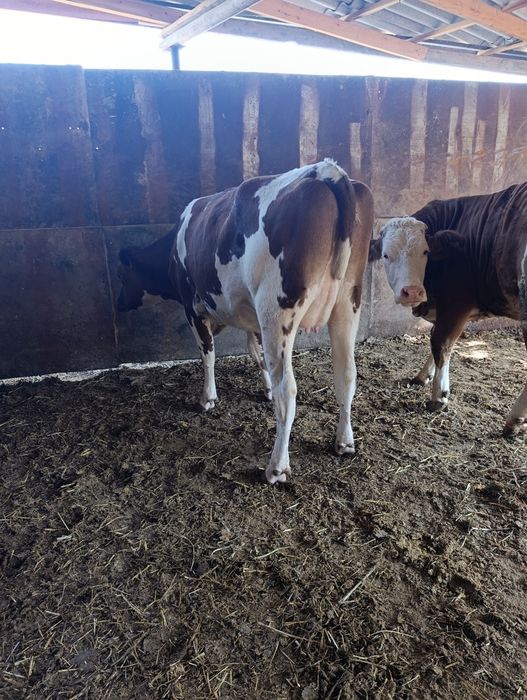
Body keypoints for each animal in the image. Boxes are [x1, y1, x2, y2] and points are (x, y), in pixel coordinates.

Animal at [117, 160, 374, 483]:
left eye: (122, 275)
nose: (117, 303)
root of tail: (327, 171)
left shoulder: (193, 306)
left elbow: (208, 354)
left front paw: (208, 398)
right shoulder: (251, 317)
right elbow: (256, 353)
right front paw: (264, 389)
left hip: (276, 310)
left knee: (288, 389)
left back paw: (277, 467)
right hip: (347, 304)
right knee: (346, 375)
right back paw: (344, 442)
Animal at [369, 183, 527, 436]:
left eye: (425, 252)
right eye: (385, 255)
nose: (413, 291)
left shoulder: (456, 305)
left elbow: (441, 343)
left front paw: (439, 396)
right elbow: (433, 341)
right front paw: (422, 376)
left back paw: (515, 419)